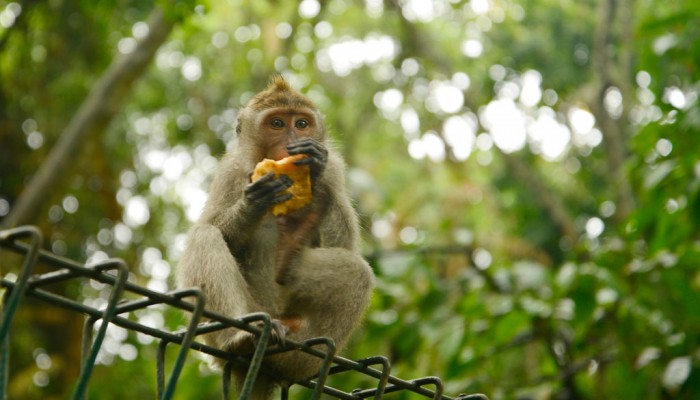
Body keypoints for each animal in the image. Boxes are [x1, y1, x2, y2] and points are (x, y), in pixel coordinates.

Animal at [176, 76, 375, 399]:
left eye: (302, 123)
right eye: (278, 123)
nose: (291, 140)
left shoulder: (336, 168)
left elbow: (345, 245)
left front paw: (315, 168)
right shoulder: (229, 172)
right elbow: (213, 225)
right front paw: (253, 202)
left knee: (357, 273)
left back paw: (298, 357)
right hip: (249, 312)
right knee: (205, 236)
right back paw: (240, 339)